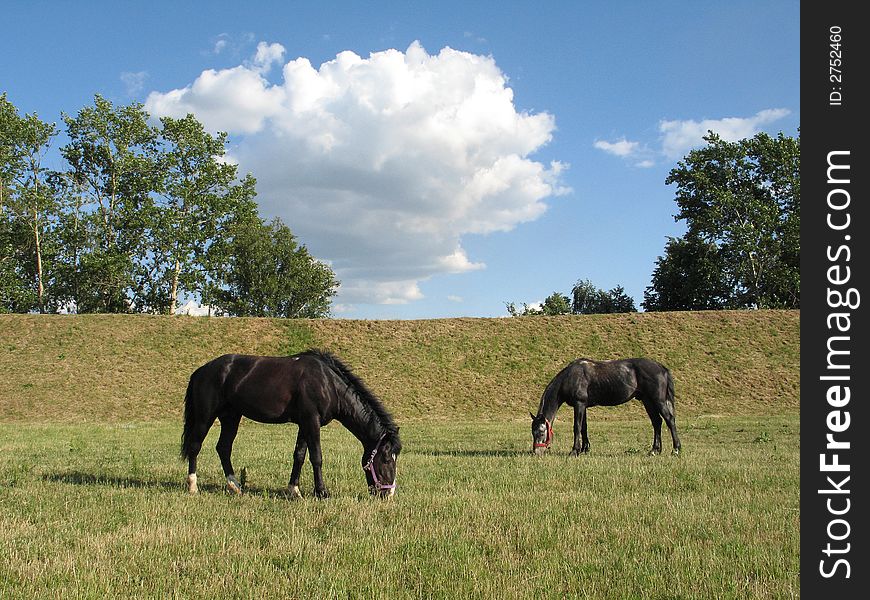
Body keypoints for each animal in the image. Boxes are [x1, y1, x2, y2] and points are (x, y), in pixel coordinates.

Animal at [184, 350, 406, 500]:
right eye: (386, 459)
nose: (389, 494)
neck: (327, 383)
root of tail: (202, 370)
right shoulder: (311, 421)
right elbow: (316, 457)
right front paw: (321, 492)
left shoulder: (304, 424)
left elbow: (299, 455)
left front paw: (294, 490)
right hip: (205, 417)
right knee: (195, 447)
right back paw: (193, 486)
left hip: (231, 417)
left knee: (223, 448)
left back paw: (235, 486)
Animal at [532, 358, 680, 458]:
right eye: (532, 432)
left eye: (541, 432)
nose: (536, 452)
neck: (571, 377)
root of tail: (661, 368)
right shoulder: (583, 406)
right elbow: (584, 427)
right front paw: (585, 449)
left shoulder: (579, 404)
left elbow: (577, 427)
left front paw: (574, 451)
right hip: (647, 401)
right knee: (657, 422)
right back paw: (655, 450)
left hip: (658, 400)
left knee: (669, 420)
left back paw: (676, 449)